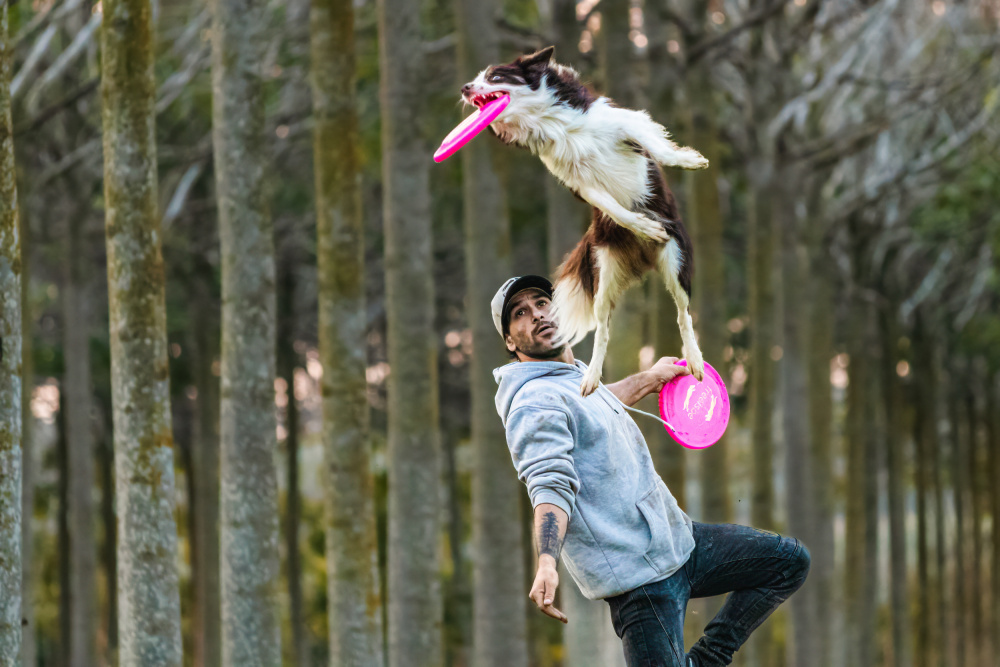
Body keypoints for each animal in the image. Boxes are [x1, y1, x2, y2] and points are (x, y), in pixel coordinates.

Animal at [462, 47, 712, 396]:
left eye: (495, 77)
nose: (465, 88)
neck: (548, 121)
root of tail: (646, 258)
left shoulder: (624, 123)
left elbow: (658, 148)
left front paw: (688, 160)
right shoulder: (578, 181)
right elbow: (614, 207)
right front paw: (644, 225)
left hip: (676, 258)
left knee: (682, 312)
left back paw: (695, 360)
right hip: (604, 274)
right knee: (604, 330)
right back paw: (591, 377)